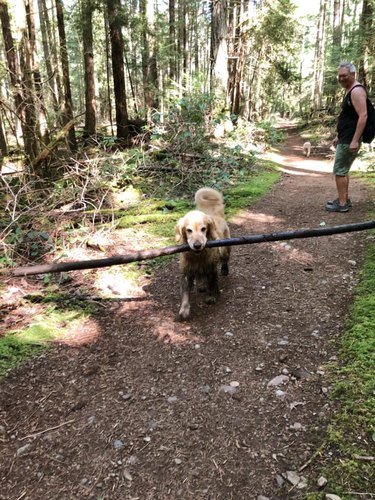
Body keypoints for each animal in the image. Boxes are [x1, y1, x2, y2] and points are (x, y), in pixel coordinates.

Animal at [175, 188, 231, 320]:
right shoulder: (186, 272)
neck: (198, 256)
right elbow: (185, 293)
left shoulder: (211, 268)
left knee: (225, 260)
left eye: (203, 229)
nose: (197, 245)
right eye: (188, 230)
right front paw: (184, 309)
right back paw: (200, 285)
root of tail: (216, 215)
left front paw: (211, 296)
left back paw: (224, 270)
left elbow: (211, 283)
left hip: (225, 249)